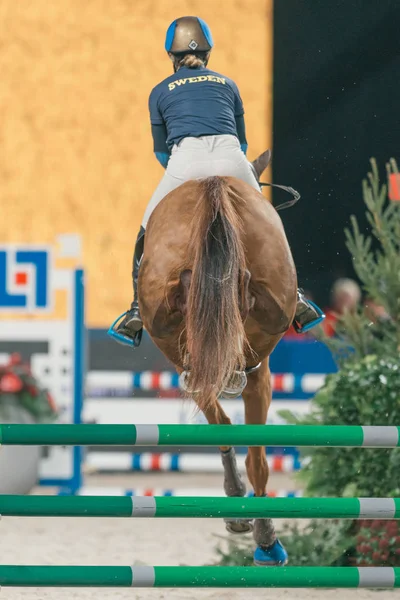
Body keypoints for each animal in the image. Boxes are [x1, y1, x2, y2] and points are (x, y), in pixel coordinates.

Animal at [138, 152, 296, 564]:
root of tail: (213, 187)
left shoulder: (195, 370)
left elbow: (222, 424)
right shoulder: (249, 373)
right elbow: (239, 440)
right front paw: (255, 525)